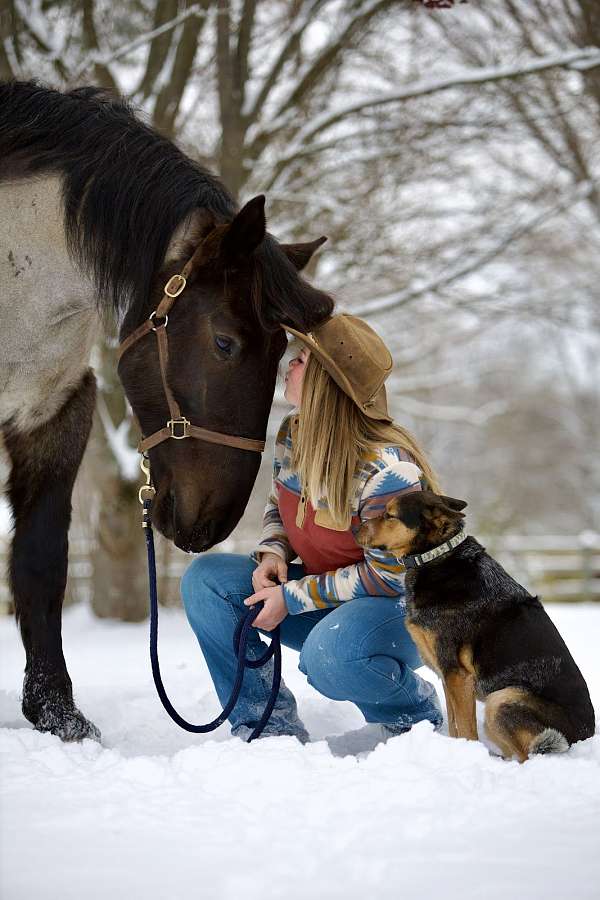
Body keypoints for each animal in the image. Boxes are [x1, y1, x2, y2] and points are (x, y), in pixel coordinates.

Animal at [0, 81, 332, 740]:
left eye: (283, 351)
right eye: (225, 343)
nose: (211, 522)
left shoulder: (53, 414)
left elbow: (41, 562)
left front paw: (57, 714)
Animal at [356, 496, 596, 764]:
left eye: (390, 515)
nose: (354, 530)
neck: (436, 557)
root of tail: (585, 736)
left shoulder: (457, 674)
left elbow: (465, 729)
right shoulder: (447, 675)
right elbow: (454, 726)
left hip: (502, 700)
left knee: (529, 755)